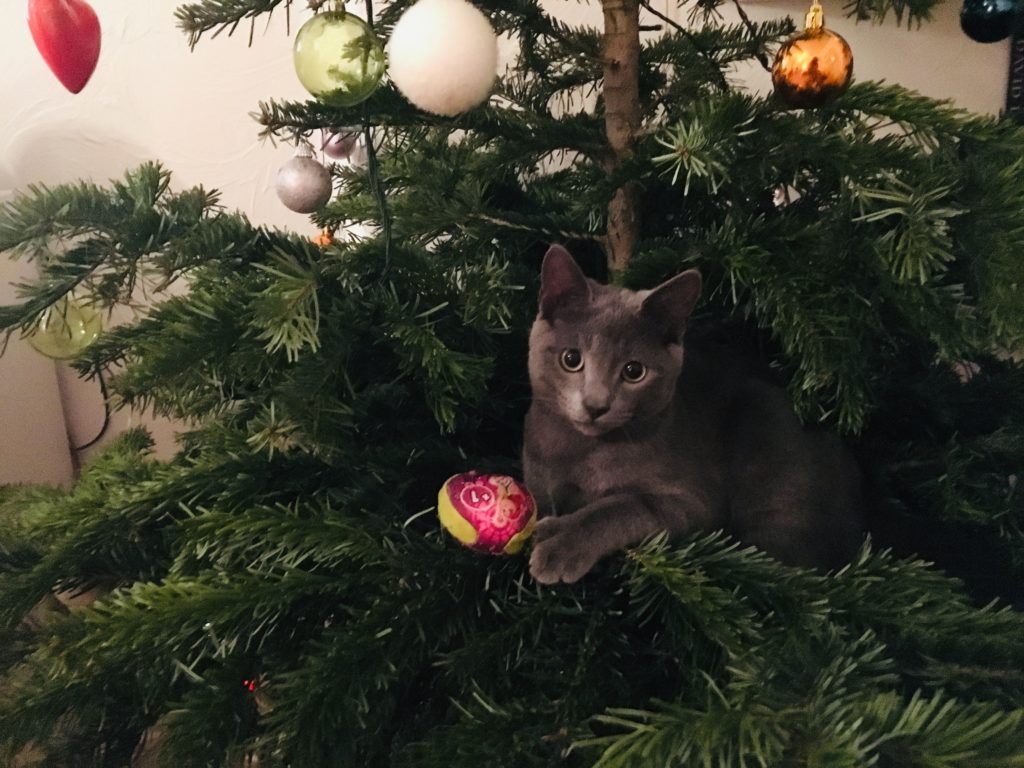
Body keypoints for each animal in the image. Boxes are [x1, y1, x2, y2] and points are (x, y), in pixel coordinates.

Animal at [520, 244, 864, 581]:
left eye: (634, 371)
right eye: (571, 359)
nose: (596, 405)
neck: (585, 452)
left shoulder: (694, 501)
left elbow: (620, 505)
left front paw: (560, 543)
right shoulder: (538, 477)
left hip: (765, 415)